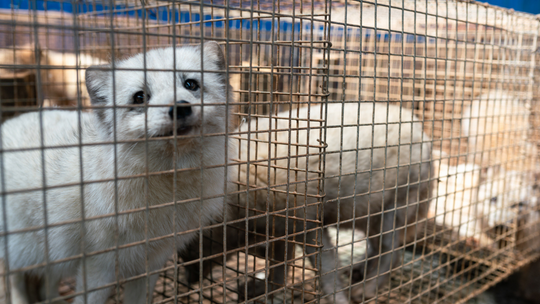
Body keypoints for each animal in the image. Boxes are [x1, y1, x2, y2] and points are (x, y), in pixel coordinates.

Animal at [0, 41, 232, 304]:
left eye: (191, 84)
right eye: (140, 97)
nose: (180, 109)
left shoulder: (152, 260)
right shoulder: (99, 265)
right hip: (21, 249)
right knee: (14, 278)